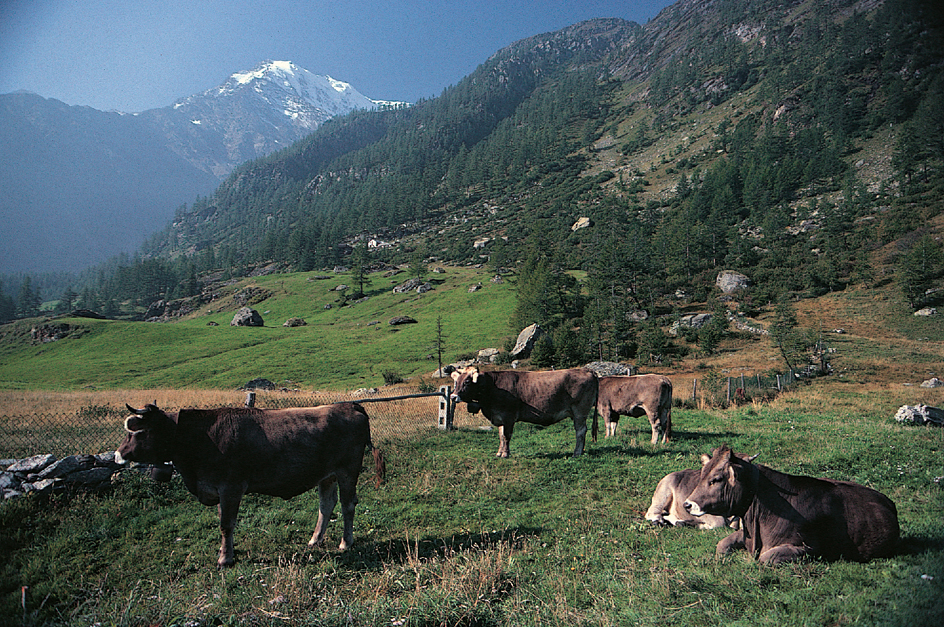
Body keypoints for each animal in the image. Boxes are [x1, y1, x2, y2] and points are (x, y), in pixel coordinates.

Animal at [116, 402, 386, 568]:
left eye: (136, 432)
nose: (118, 455)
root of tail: (348, 405)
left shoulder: (231, 487)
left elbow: (226, 525)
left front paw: (225, 559)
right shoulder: (219, 490)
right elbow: (224, 523)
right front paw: (225, 553)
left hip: (347, 470)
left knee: (347, 505)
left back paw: (345, 543)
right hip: (326, 475)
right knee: (326, 505)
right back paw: (315, 540)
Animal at [444, 366, 596, 458]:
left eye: (467, 382)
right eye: (456, 381)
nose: (453, 397)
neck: (493, 387)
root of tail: (587, 370)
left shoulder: (508, 417)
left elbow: (506, 436)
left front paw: (505, 454)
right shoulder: (499, 417)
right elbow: (501, 436)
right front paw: (499, 453)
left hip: (580, 411)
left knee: (581, 430)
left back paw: (577, 452)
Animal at [684, 446, 896, 564]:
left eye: (716, 479)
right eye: (702, 474)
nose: (687, 504)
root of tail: (887, 501)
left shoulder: (810, 548)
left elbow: (766, 558)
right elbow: (721, 544)